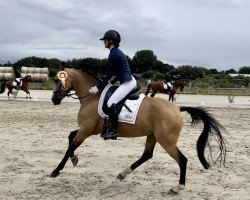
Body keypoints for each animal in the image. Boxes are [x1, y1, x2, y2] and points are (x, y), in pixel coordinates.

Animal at [49, 68, 226, 195]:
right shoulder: (87, 129)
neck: (92, 98)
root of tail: (177, 108)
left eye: (58, 80)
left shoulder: (86, 130)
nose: (54, 99)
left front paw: (56, 170)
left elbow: (71, 146)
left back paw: (177, 188)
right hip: (152, 135)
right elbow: (70, 138)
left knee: (182, 160)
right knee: (147, 155)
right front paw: (74, 159)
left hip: (166, 141)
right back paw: (123, 174)